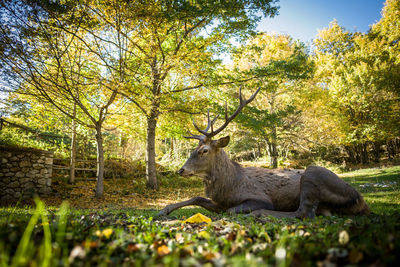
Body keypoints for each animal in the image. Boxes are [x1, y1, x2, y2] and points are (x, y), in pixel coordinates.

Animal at [158, 87, 370, 219]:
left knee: (304, 212)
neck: (229, 184)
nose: (181, 170)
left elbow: (232, 211)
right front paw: (164, 210)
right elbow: (197, 198)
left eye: (204, 150)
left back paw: (259, 214)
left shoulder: (259, 198)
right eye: (193, 149)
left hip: (312, 175)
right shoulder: (218, 202)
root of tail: (361, 202)